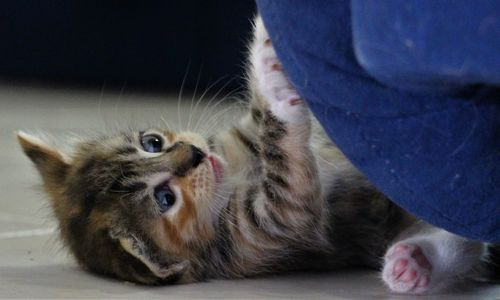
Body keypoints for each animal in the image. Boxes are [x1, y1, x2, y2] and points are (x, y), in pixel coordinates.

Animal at [16, 15, 496, 292]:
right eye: (164, 198)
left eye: (152, 142)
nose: (194, 155)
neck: (236, 172)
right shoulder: (270, 228)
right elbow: (285, 156)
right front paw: (274, 80)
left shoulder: (238, 141)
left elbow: (261, 124)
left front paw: (270, 54)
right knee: (463, 244)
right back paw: (413, 264)